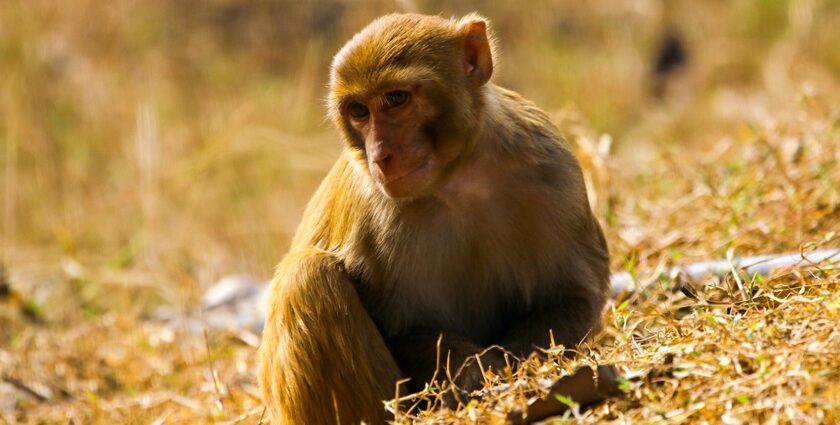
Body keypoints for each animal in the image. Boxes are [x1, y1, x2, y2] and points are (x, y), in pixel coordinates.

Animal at [260, 13, 612, 424]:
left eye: (396, 99)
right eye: (360, 111)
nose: (381, 156)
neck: (458, 178)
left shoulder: (553, 169)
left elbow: (571, 296)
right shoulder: (377, 214)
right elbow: (405, 328)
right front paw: (478, 371)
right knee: (307, 275)